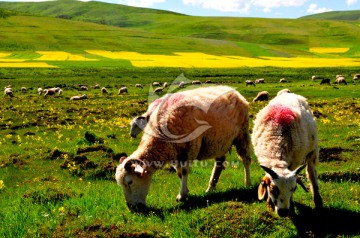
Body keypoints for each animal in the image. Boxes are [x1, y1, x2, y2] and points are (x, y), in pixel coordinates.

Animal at [116, 86, 252, 207]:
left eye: (130, 182)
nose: (131, 207)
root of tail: (234, 91)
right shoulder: (174, 151)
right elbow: (179, 173)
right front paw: (185, 192)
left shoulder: (191, 147)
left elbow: (185, 171)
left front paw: (181, 195)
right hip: (219, 141)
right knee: (218, 163)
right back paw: (211, 187)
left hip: (242, 134)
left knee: (246, 160)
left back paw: (247, 183)